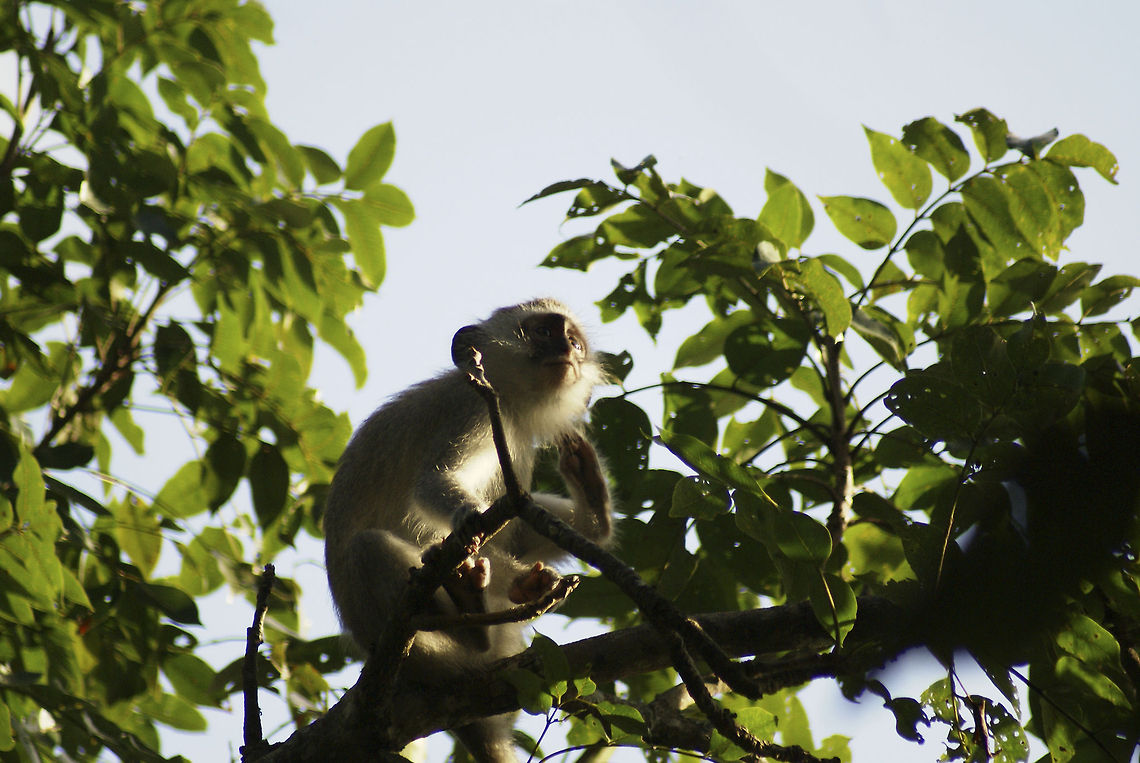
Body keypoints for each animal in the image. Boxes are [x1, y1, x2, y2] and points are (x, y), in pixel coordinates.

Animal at [323, 298, 614, 763]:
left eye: (573, 340)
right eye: (544, 332)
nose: (569, 350)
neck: (508, 401)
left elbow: (517, 532)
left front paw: (590, 510)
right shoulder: (472, 409)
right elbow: (434, 486)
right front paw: (504, 560)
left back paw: (593, 512)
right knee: (368, 547)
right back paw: (473, 621)